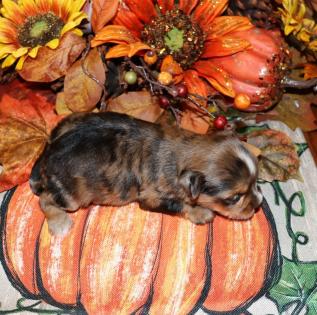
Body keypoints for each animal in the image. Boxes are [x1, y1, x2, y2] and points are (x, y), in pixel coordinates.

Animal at [29, 112, 262, 236]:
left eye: (256, 182)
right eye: (234, 198)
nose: (259, 204)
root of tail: (49, 149)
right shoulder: (152, 196)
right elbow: (181, 204)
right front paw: (201, 212)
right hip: (71, 195)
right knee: (44, 199)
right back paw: (59, 223)